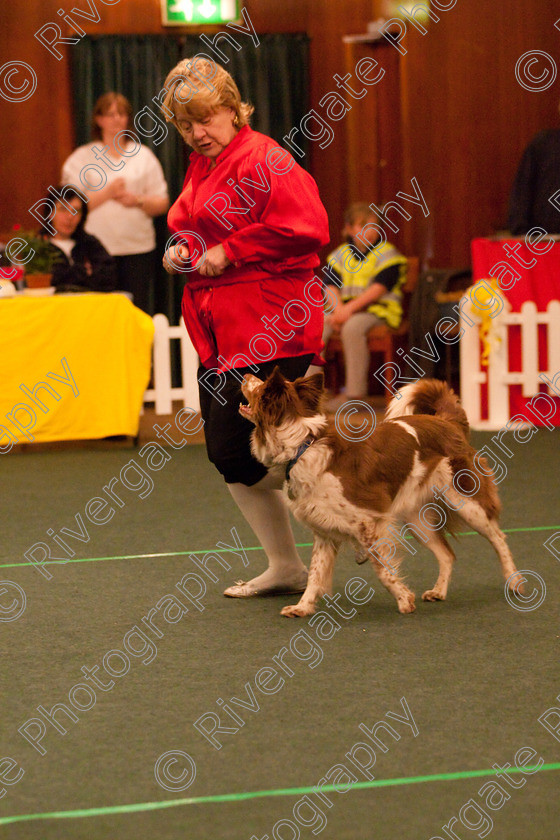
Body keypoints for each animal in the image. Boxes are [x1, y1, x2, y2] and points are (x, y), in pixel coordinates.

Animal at [238, 372, 524, 616]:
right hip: (417, 520)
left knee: (498, 538)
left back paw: (515, 582)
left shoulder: (369, 522)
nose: (245, 375)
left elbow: (382, 570)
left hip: (466, 501)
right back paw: (439, 591)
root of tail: (446, 422)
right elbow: (315, 575)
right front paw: (302, 607)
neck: (301, 447)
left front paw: (404, 599)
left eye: (260, 387)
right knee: (447, 554)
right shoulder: (324, 531)